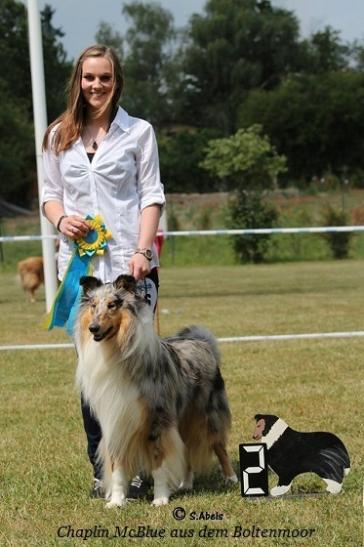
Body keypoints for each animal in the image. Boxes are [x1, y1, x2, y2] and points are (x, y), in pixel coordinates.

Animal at [75, 274, 237, 510]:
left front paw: (160, 498)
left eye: (113, 305)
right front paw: (116, 501)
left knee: (219, 446)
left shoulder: (157, 422)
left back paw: (231, 478)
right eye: (94, 306)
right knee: (186, 450)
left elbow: (159, 464)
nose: (93, 328)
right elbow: (117, 468)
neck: (115, 353)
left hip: (207, 415)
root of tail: (201, 342)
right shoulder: (116, 422)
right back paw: (186, 484)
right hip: (182, 419)